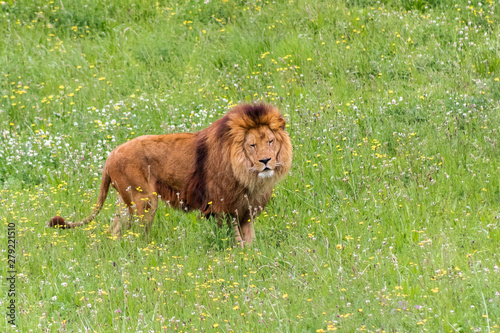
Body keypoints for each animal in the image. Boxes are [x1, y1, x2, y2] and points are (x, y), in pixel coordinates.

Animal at [47, 104, 292, 246]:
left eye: (271, 141)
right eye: (252, 145)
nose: (266, 161)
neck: (248, 176)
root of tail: (109, 157)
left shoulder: (246, 210)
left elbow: (250, 240)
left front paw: (251, 258)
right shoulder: (223, 207)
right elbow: (236, 239)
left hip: (124, 202)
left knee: (114, 229)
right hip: (144, 200)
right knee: (138, 234)